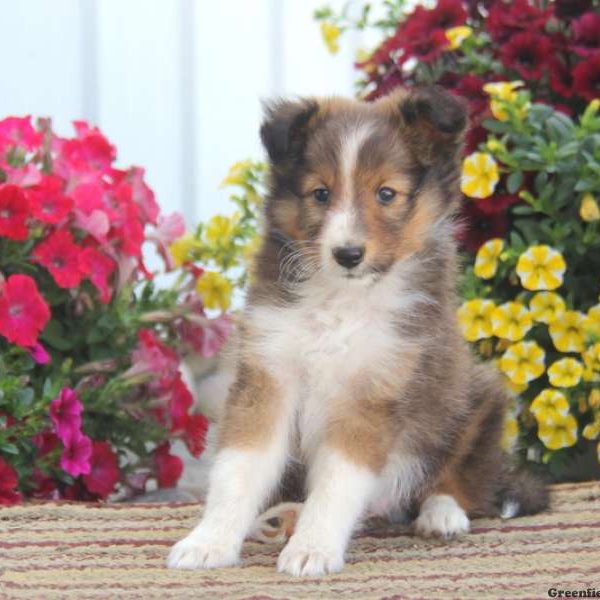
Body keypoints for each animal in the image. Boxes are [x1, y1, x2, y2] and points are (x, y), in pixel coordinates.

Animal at [166, 85, 548, 576]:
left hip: (478, 399)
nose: (347, 254)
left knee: (459, 479)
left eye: (386, 193)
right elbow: (239, 467)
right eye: (320, 193)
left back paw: (441, 514)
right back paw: (282, 517)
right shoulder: (268, 374)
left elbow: (338, 482)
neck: (341, 301)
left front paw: (313, 549)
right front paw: (209, 541)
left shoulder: (374, 390)